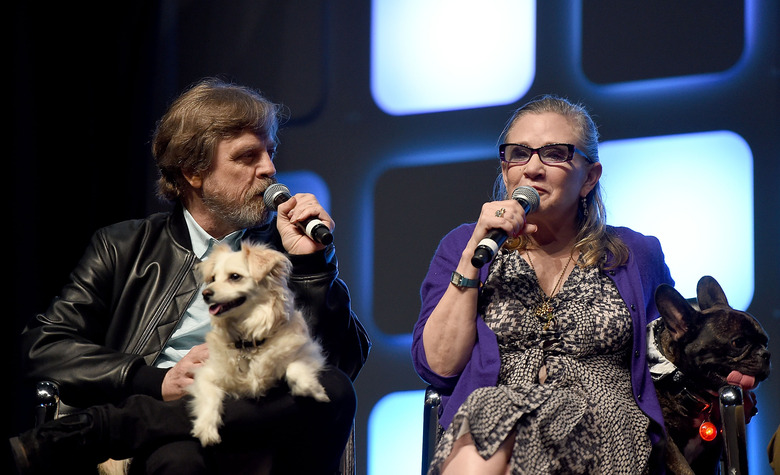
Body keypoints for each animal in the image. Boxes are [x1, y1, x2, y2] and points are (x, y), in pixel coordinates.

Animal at [189, 244, 330, 448]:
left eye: (235, 277)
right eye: (213, 279)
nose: (205, 294)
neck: (248, 340)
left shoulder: (312, 352)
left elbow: (295, 368)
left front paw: (313, 390)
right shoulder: (205, 373)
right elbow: (209, 396)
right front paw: (206, 428)